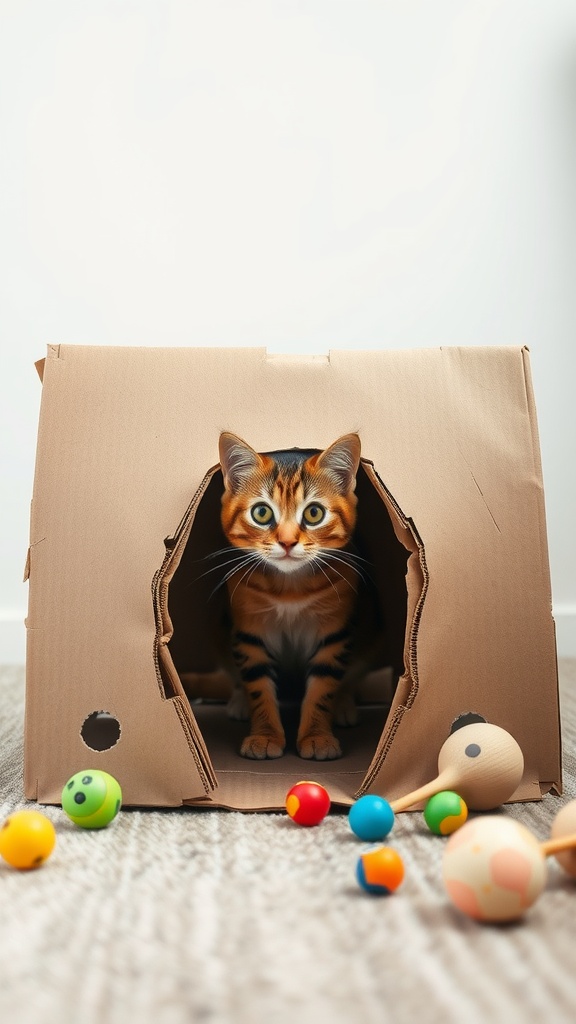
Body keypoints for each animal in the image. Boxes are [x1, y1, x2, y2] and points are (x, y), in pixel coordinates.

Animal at [217, 432, 364, 761]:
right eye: (261, 513)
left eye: (314, 513)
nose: (286, 542)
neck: (290, 588)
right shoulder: (249, 630)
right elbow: (257, 686)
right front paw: (264, 736)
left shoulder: (334, 632)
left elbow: (323, 688)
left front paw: (317, 737)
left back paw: (345, 705)